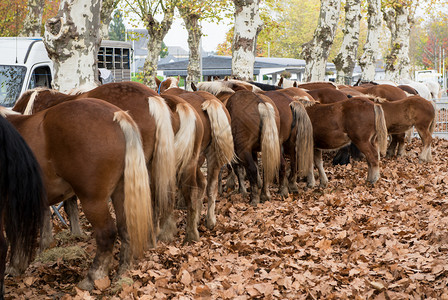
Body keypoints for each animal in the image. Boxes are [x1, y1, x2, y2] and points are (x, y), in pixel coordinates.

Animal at [2, 99, 154, 290]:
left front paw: (14, 266)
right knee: (125, 228)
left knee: (106, 233)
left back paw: (93, 277)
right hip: (121, 193)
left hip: (93, 201)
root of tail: (117, 116)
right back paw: (123, 271)